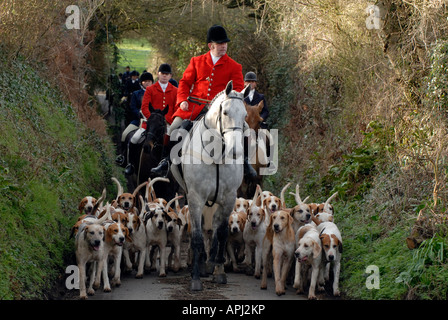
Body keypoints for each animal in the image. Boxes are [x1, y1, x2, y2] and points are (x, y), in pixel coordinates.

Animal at [172, 80, 250, 290]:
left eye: (245, 115)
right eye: (226, 113)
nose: (235, 151)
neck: (216, 154)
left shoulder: (229, 198)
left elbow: (221, 233)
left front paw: (219, 272)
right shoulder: (195, 198)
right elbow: (197, 237)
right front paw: (196, 278)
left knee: (213, 228)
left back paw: (211, 263)